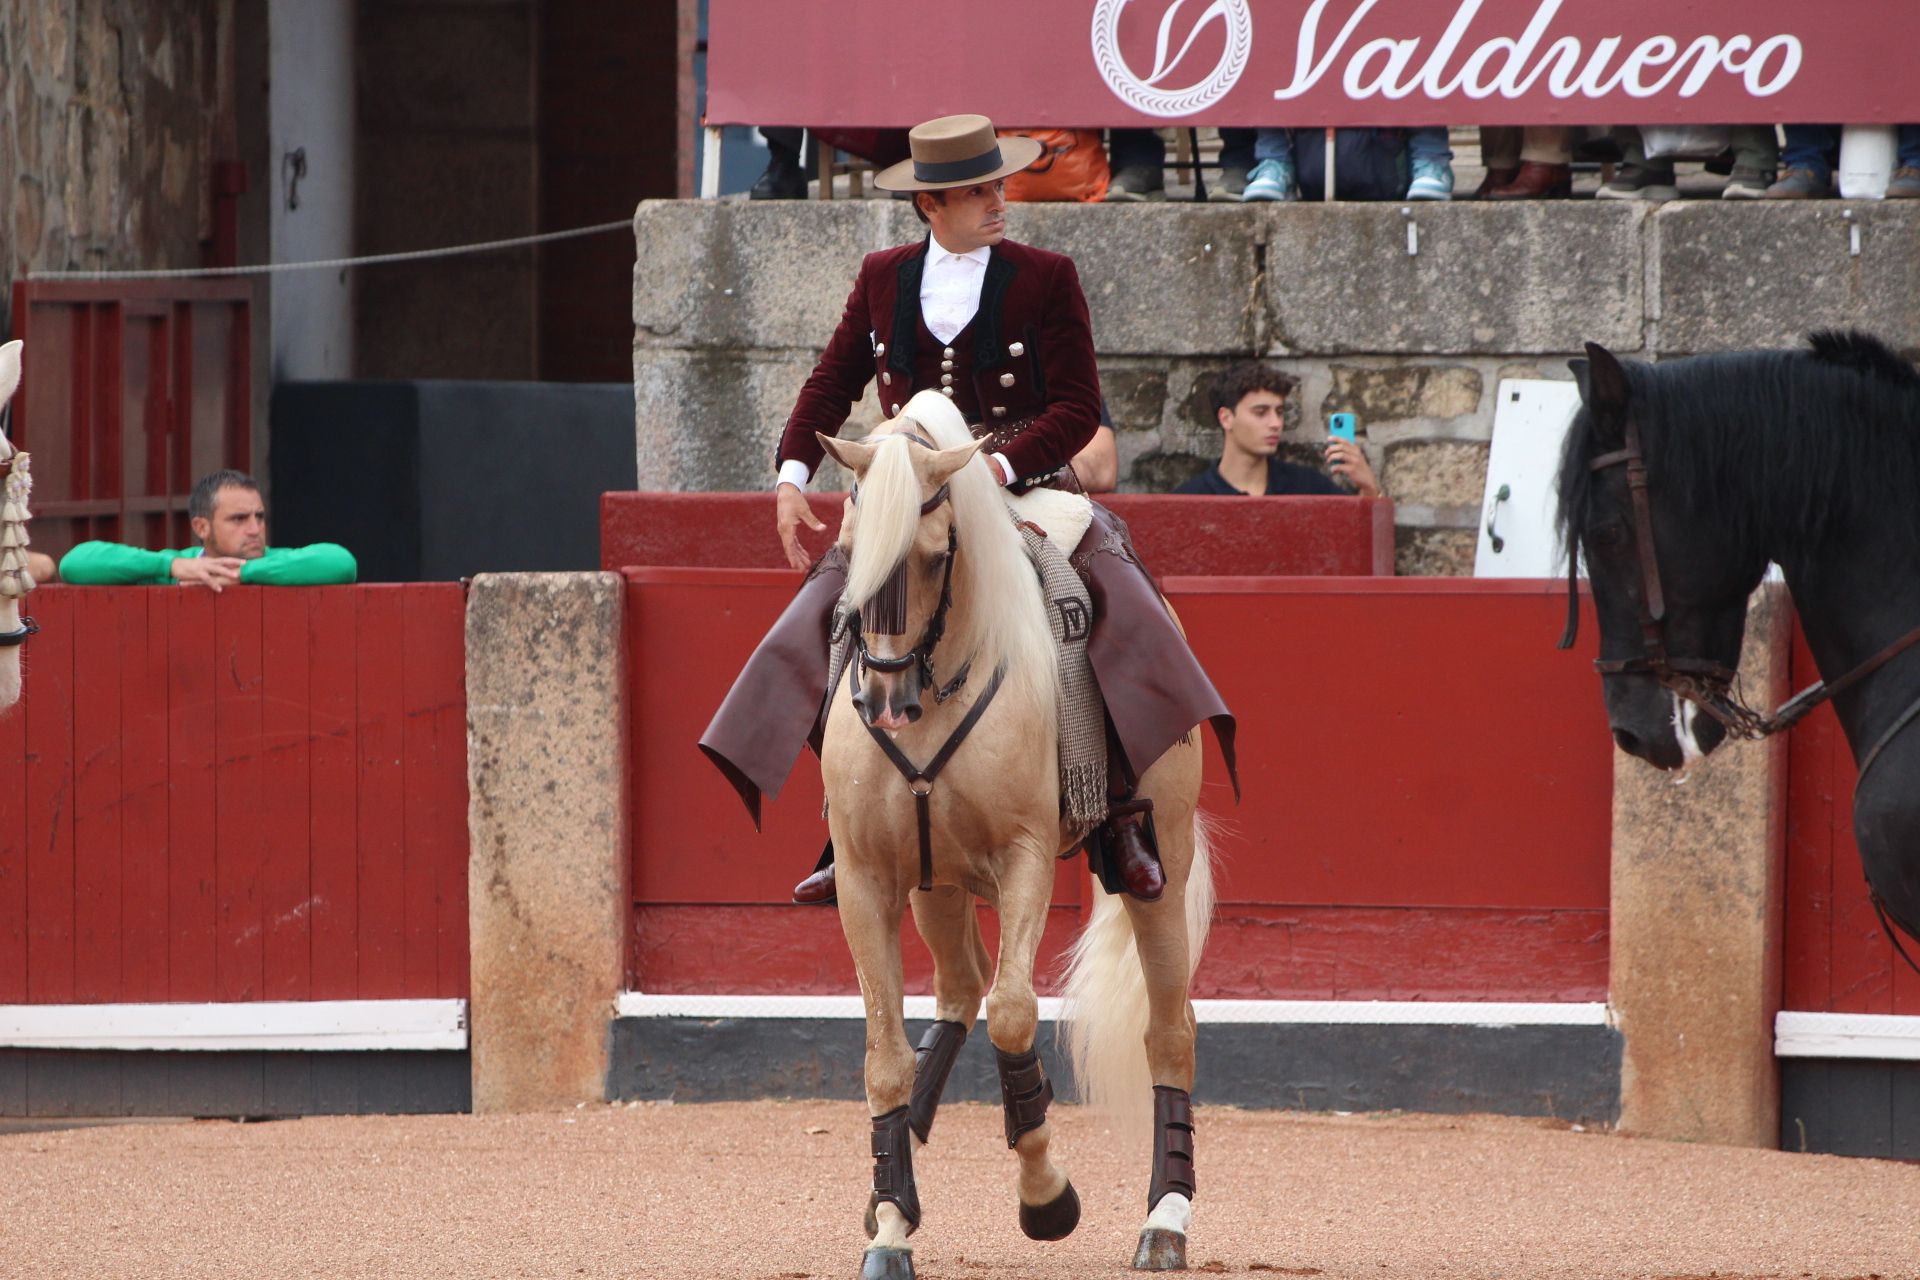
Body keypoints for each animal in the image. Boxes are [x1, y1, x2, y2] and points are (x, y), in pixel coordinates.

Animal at [814, 391, 1205, 1280]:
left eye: (933, 557)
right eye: (849, 551)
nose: (883, 704)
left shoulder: (1025, 857)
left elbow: (1016, 1014)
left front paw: (1047, 1199)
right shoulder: (865, 877)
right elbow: (884, 1055)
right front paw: (890, 1221)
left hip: (1160, 854)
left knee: (1168, 1028)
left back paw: (1165, 1222)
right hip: (936, 882)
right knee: (958, 990)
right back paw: (894, 1192)